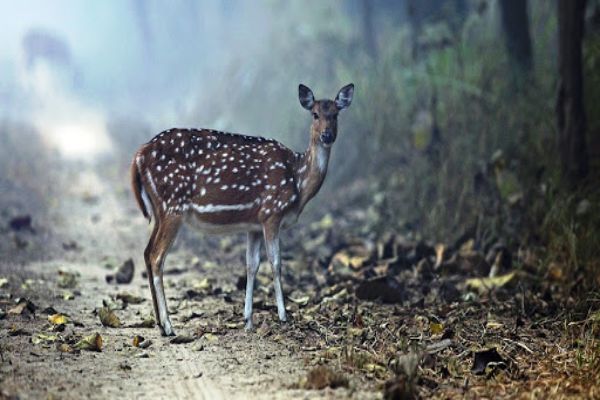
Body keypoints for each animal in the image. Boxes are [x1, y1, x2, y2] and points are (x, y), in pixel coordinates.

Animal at [130, 83, 352, 334]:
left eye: (335, 114)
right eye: (315, 114)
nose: (327, 135)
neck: (298, 181)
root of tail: (139, 155)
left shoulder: (253, 224)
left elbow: (251, 265)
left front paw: (248, 320)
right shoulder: (271, 212)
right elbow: (276, 263)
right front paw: (283, 316)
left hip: (160, 210)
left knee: (146, 252)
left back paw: (158, 322)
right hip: (173, 205)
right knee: (157, 256)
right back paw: (168, 325)